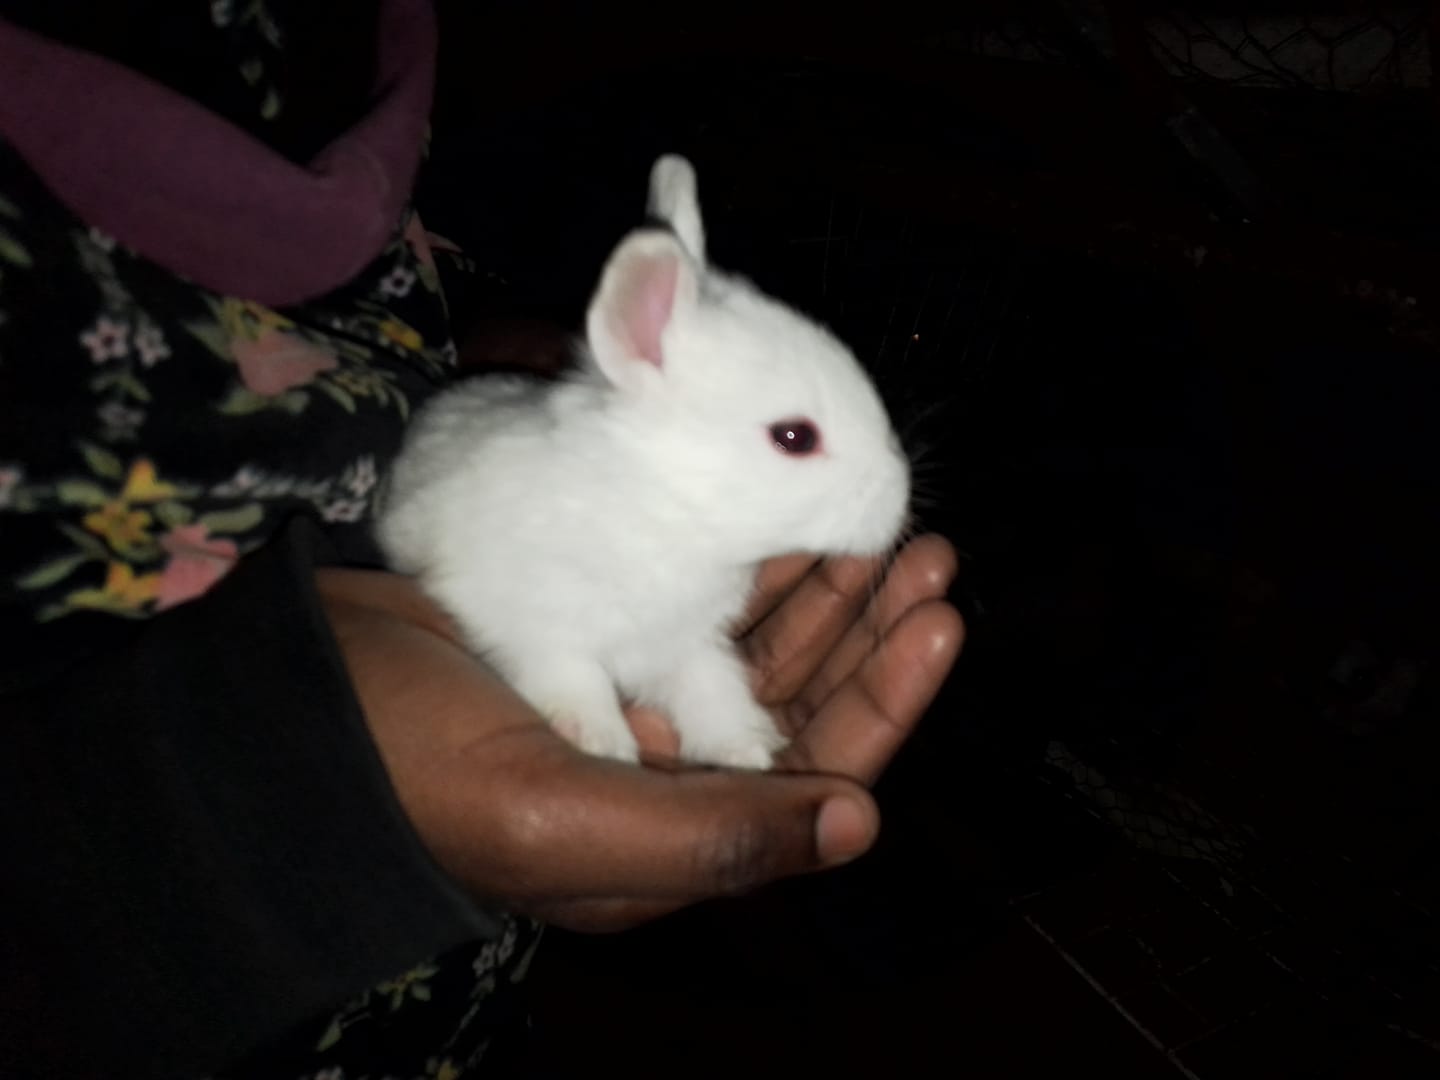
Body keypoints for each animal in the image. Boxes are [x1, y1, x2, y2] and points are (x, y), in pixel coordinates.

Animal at [374, 154, 911, 769]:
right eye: (794, 437)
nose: (901, 496)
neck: (664, 506)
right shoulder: (529, 621)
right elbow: (569, 674)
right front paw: (598, 742)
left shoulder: (686, 641)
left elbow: (711, 685)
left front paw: (746, 748)